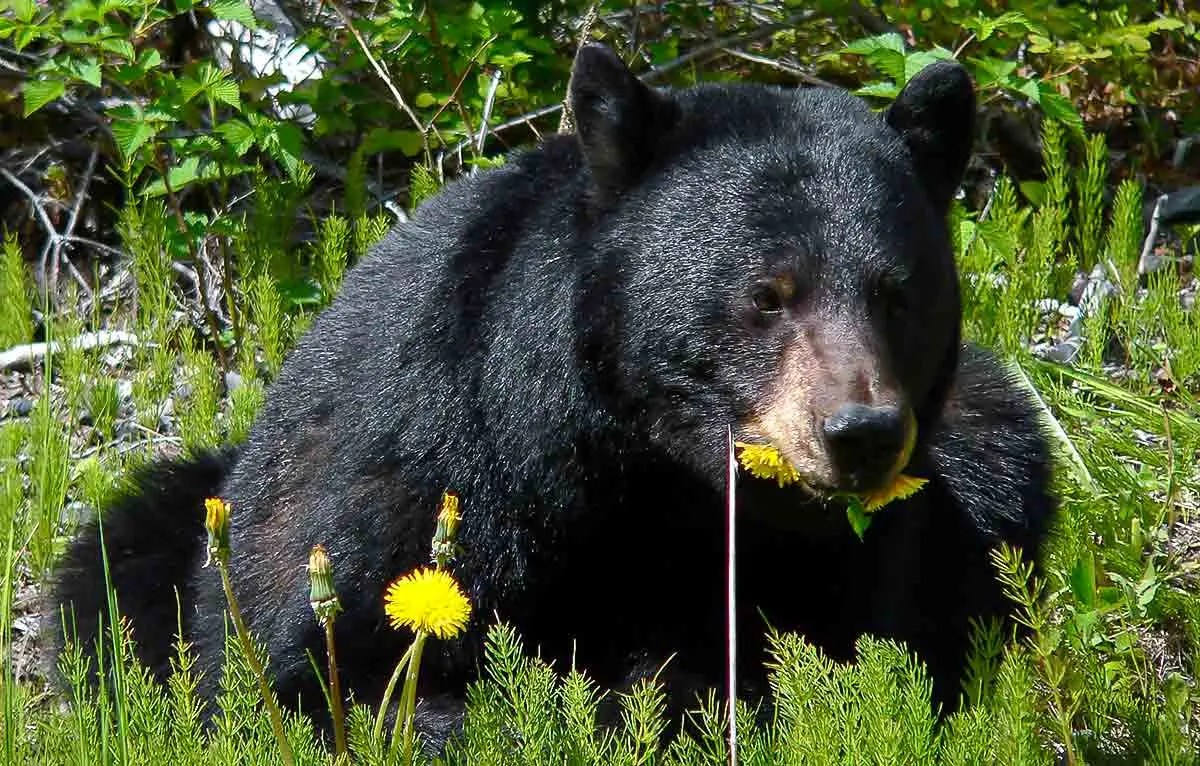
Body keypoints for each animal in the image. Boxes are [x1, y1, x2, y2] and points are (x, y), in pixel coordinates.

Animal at [54, 42, 1051, 744]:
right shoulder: (418, 473)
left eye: (897, 292)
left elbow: (841, 654)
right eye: (769, 292)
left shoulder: (844, 555)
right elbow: (316, 674)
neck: (644, 469)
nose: (861, 432)